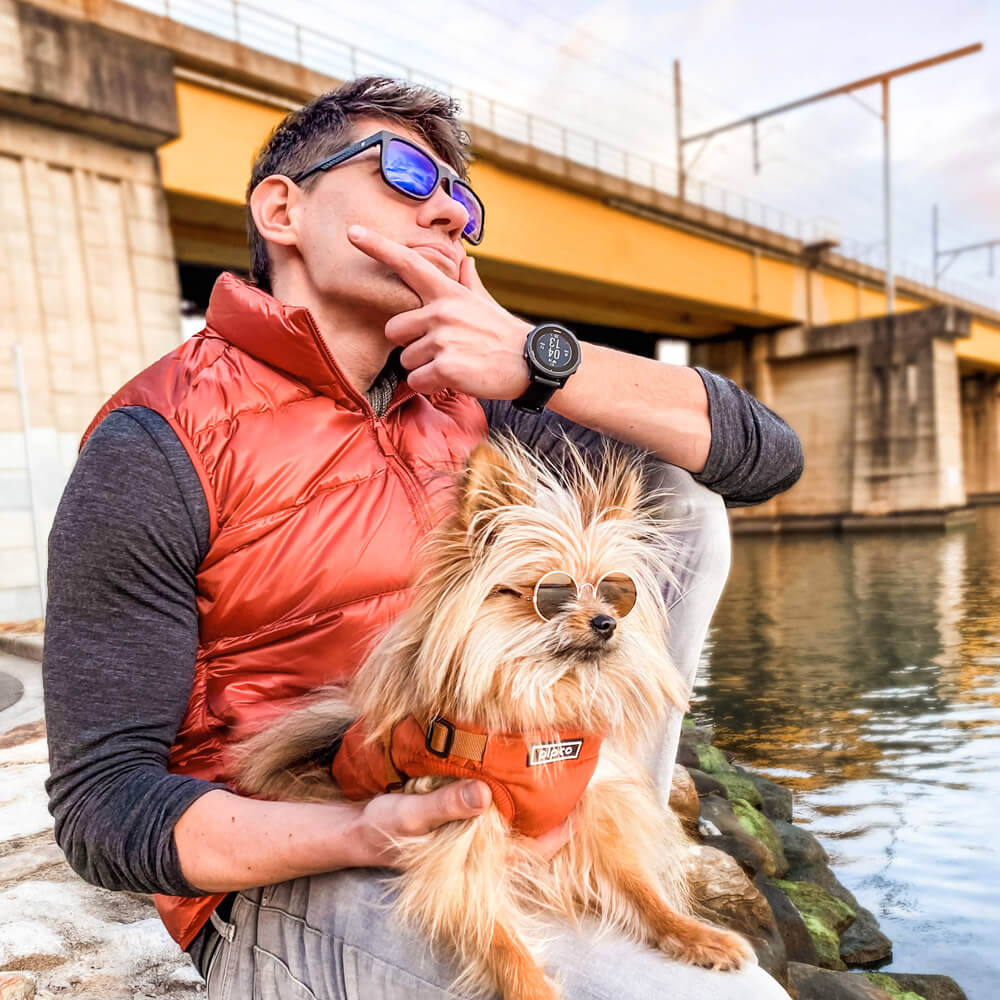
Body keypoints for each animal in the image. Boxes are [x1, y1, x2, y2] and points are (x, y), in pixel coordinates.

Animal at [234, 438, 752, 1000]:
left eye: (616, 593)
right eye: (553, 593)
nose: (607, 622)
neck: (541, 704)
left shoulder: (593, 814)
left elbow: (642, 890)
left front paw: (694, 934)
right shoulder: (461, 841)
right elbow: (500, 941)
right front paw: (535, 990)